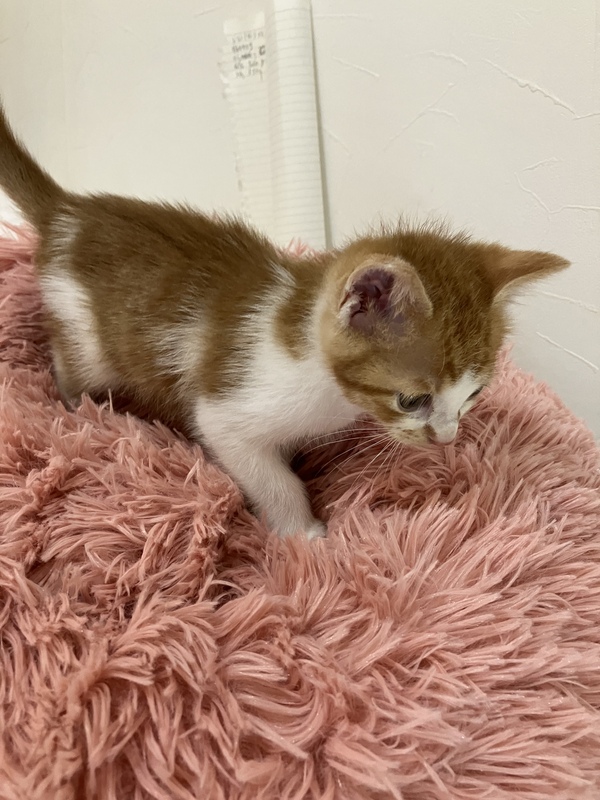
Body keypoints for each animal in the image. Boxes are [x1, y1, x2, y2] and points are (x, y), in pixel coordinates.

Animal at [0, 102, 568, 539]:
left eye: (473, 394)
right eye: (412, 400)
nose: (447, 440)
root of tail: (69, 212)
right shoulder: (225, 415)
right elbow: (270, 476)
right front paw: (303, 533)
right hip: (86, 341)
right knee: (71, 369)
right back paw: (80, 408)